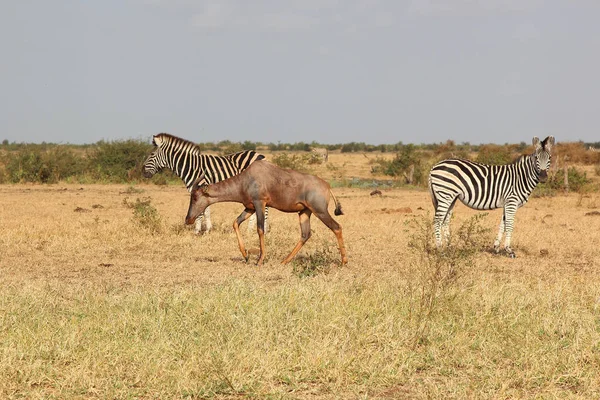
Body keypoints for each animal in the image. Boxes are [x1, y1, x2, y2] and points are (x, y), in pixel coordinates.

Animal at [186, 159, 346, 266]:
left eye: (195, 196)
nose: (188, 219)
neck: (247, 178)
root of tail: (327, 186)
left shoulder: (260, 204)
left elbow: (260, 229)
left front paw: (260, 260)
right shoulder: (249, 207)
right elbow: (235, 223)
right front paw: (246, 255)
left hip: (320, 211)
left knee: (337, 227)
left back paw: (344, 261)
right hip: (304, 212)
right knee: (305, 234)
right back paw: (284, 261)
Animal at [428, 136, 556, 258]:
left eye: (549, 158)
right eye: (536, 158)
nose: (543, 177)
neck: (521, 177)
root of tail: (434, 166)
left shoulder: (507, 203)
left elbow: (503, 224)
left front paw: (496, 248)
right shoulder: (511, 202)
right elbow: (509, 225)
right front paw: (509, 250)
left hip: (451, 197)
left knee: (445, 221)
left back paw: (449, 248)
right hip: (445, 194)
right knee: (437, 221)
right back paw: (441, 250)